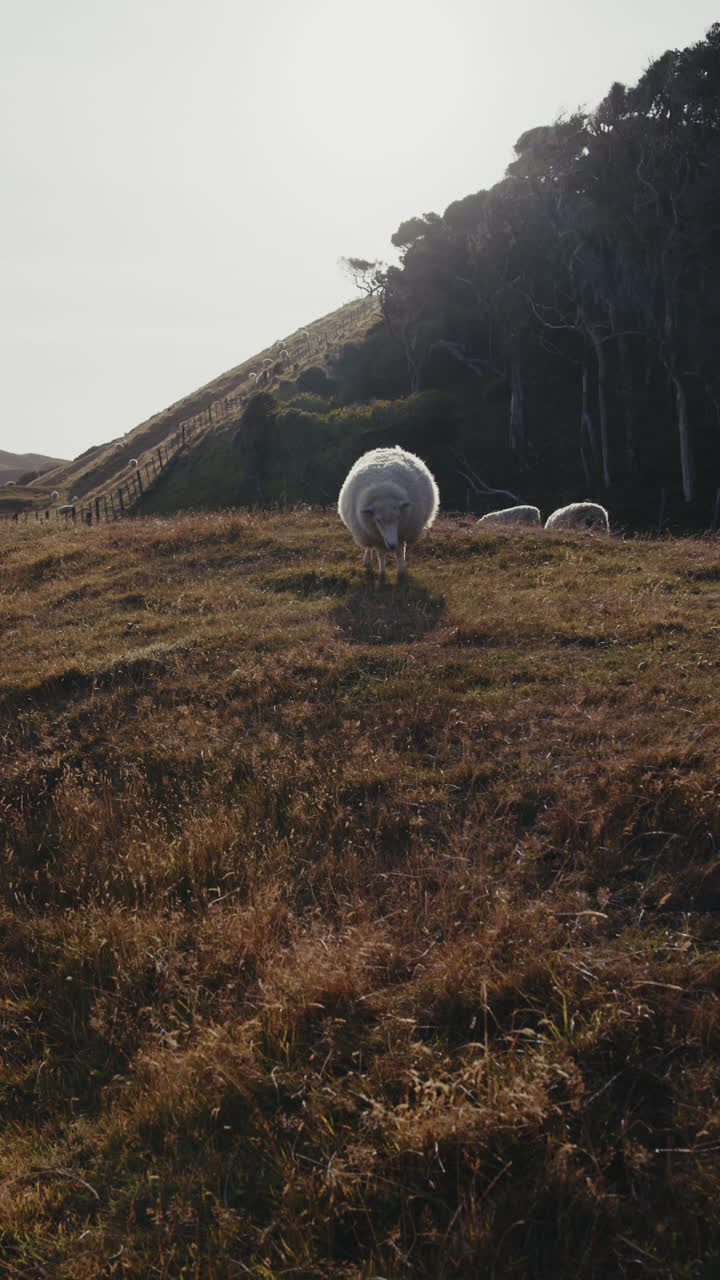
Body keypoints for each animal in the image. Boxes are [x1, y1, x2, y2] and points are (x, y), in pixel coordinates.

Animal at [338, 445, 439, 578]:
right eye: (378, 520)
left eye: (398, 517)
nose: (391, 545)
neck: (384, 493)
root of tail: (387, 448)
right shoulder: (375, 536)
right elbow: (381, 555)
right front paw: (382, 573)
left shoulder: (402, 533)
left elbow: (400, 552)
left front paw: (401, 571)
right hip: (365, 532)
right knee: (368, 547)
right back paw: (367, 560)